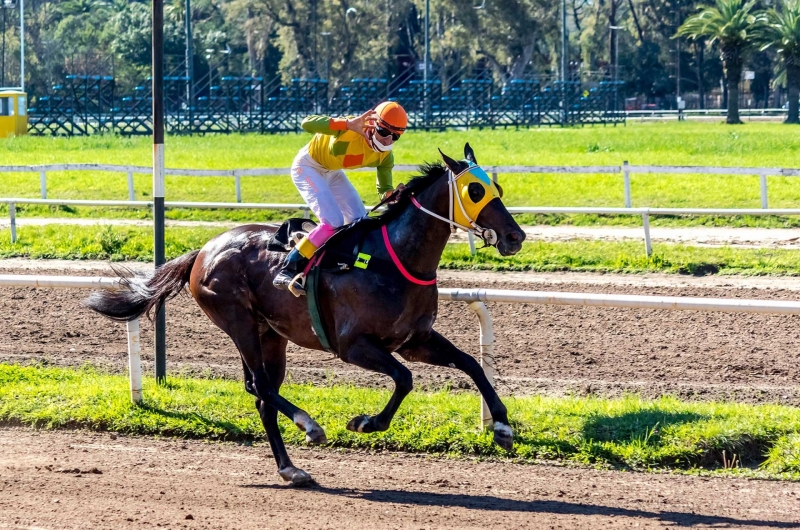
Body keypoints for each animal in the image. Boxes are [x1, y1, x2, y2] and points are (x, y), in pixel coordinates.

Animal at [87, 143, 524, 482]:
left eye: (498, 187)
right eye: (475, 189)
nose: (516, 236)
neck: (393, 258)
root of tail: (203, 251)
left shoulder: (414, 340)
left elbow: (471, 364)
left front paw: (502, 426)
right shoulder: (354, 345)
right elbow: (404, 378)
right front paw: (367, 422)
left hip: (271, 335)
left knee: (262, 395)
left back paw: (290, 468)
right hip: (238, 322)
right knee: (261, 387)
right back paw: (308, 425)